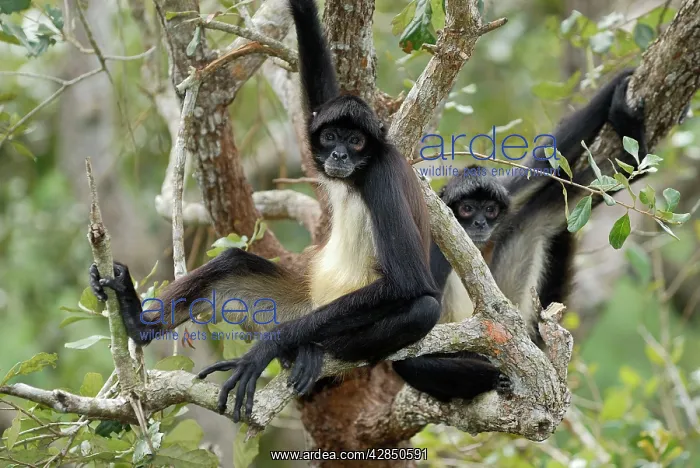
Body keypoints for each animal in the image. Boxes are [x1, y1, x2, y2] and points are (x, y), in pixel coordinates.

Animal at [89, 0, 517, 423]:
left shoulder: (381, 177)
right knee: (230, 261)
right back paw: (137, 322)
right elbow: (321, 90)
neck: (357, 176)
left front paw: (268, 348)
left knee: (422, 308)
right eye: (330, 137)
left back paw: (304, 349)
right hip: (294, 304)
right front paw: (302, 8)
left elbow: (410, 283)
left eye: (356, 141)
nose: (340, 155)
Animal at [393, 69, 647, 402]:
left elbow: (544, 163)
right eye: (466, 209)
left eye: (489, 210)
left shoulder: (507, 194)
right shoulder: (435, 248)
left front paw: (617, 94)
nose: (479, 224)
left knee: (535, 219)